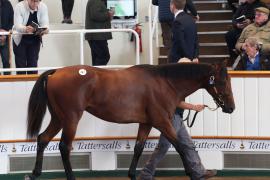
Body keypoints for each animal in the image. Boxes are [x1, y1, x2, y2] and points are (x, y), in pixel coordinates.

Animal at [25, 61, 234, 179]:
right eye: (223, 82)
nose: (231, 107)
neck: (164, 82)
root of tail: (56, 72)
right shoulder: (162, 122)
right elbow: (181, 146)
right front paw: (192, 173)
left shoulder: (146, 123)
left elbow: (138, 148)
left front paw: (132, 174)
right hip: (71, 118)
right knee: (64, 147)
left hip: (58, 118)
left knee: (43, 139)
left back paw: (34, 174)